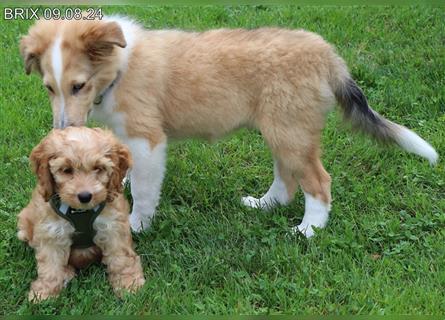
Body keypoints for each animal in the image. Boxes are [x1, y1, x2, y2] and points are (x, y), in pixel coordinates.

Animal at [17, 126, 145, 302]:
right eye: (66, 170)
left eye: (98, 168)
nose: (85, 196)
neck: (80, 211)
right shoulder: (51, 232)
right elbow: (50, 265)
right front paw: (45, 293)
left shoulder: (113, 227)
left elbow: (121, 258)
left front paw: (129, 284)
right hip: (25, 223)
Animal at [20, 17, 438, 238]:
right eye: (49, 88)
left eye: (78, 86)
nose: (62, 131)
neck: (119, 68)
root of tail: (327, 55)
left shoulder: (148, 138)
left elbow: (144, 188)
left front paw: (137, 224)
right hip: (281, 130)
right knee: (287, 180)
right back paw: (263, 205)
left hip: (291, 132)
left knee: (319, 183)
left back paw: (308, 231)